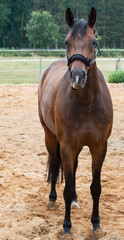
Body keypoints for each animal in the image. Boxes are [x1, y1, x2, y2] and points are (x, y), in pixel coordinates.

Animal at [38, 7, 113, 238]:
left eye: (94, 42)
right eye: (65, 42)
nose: (78, 78)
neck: (86, 103)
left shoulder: (99, 147)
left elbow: (96, 187)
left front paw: (96, 225)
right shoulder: (67, 146)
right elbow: (67, 187)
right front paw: (66, 227)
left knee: (75, 168)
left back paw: (75, 201)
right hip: (51, 137)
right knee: (55, 164)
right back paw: (52, 200)